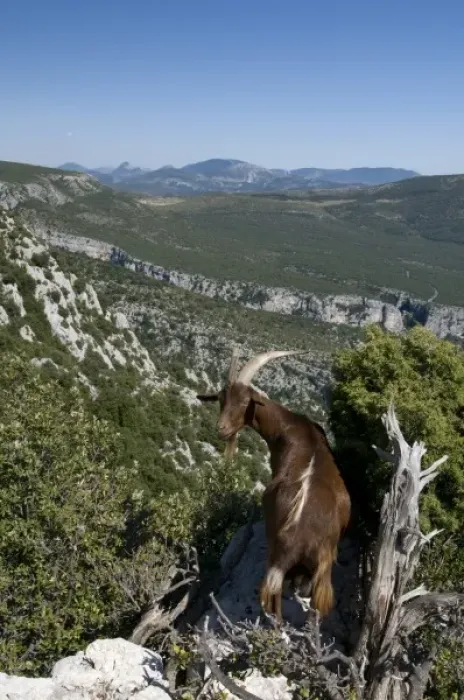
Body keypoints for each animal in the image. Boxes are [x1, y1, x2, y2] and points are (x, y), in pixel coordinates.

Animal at [197, 348, 351, 621]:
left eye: (244, 401)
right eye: (221, 400)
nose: (221, 429)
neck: (291, 427)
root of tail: (299, 536)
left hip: (276, 557)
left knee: (274, 599)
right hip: (322, 569)